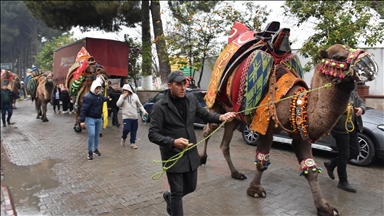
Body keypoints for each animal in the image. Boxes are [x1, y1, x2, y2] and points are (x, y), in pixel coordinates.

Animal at [201, 22, 378, 216]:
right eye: (338, 56)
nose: (369, 64)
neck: (294, 101)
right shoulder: (266, 126)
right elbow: (262, 161)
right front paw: (255, 190)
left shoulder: (300, 132)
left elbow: (311, 169)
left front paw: (324, 207)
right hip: (217, 104)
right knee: (207, 129)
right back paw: (202, 159)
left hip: (234, 116)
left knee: (224, 143)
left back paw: (235, 173)